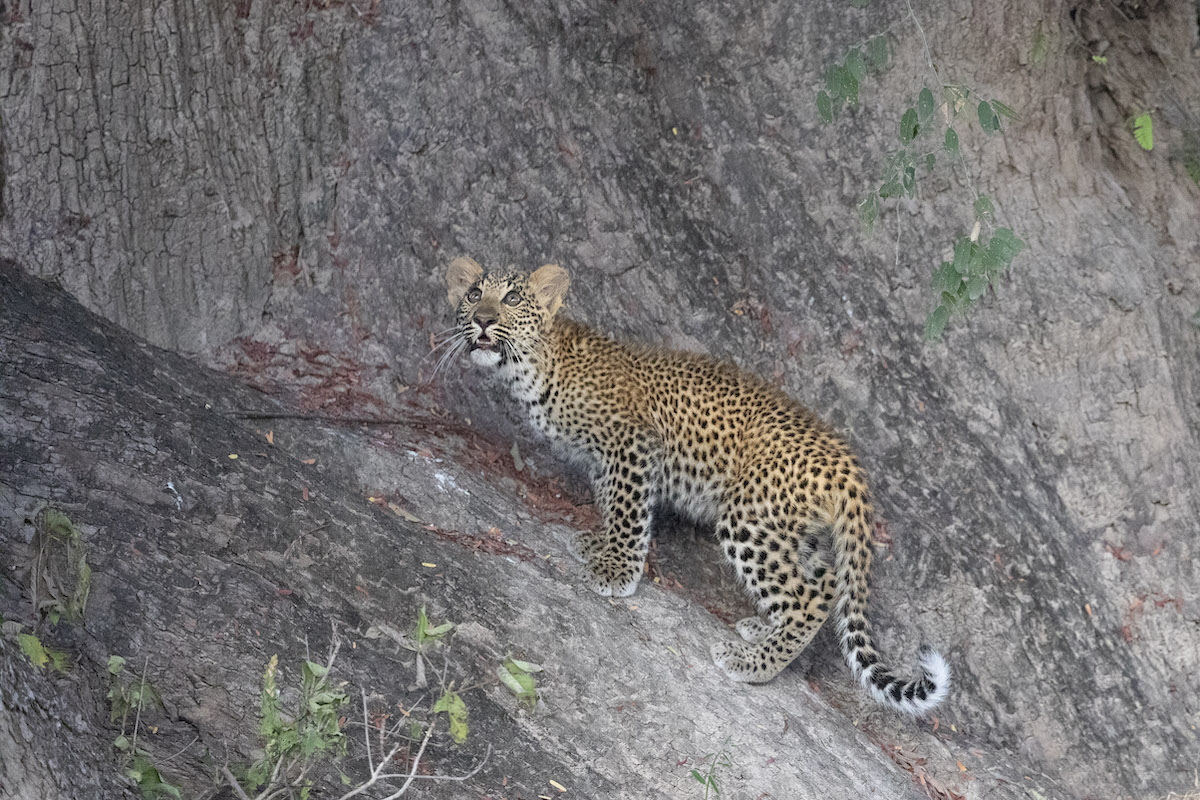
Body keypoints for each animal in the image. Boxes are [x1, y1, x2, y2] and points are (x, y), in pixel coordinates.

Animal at [442, 256, 950, 714]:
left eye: (511, 298)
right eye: (473, 295)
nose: (483, 319)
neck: (530, 366)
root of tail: (846, 459)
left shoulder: (633, 442)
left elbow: (629, 511)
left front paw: (618, 572)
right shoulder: (604, 461)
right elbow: (610, 502)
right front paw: (600, 546)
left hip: (750, 516)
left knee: (807, 597)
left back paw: (754, 663)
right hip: (792, 529)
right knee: (821, 581)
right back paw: (761, 630)